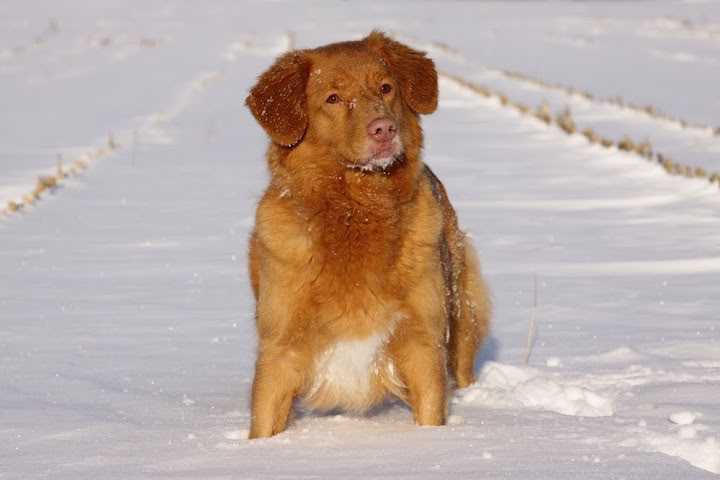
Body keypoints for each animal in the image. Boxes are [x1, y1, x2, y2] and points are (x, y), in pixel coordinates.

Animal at [246, 31, 490, 438]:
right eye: (332, 98)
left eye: (386, 88)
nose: (384, 129)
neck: (357, 207)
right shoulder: (280, 347)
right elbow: (264, 421)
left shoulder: (423, 342)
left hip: (461, 317)